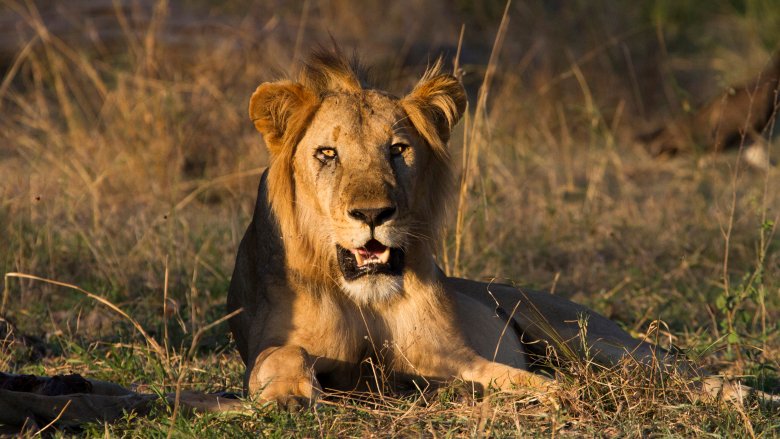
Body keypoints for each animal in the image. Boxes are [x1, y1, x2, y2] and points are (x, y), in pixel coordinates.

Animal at [225, 48, 768, 410]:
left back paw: (733, 391)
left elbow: (510, 375)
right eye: (327, 154)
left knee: (663, 365)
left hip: (584, 335)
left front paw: (562, 394)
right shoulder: (278, 342)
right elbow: (281, 353)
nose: (374, 214)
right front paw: (290, 395)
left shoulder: (454, 356)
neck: (364, 295)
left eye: (398, 150)